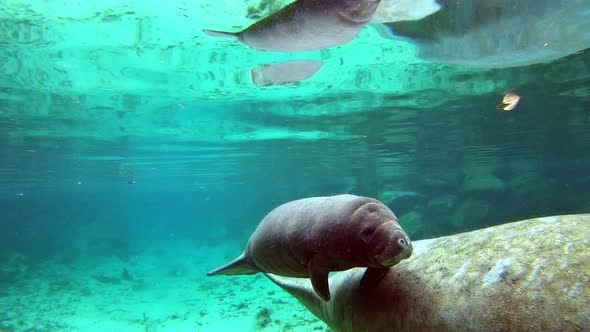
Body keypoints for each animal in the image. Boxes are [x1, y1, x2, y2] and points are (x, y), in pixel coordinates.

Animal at [210, 193, 414, 302]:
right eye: (368, 232)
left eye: (396, 220)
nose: (402, 240)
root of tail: (247, 253)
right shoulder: (317, 257)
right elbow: (318, 280)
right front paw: (327, 298)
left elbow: (378, 270)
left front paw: (365, 286)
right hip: (251, 253)